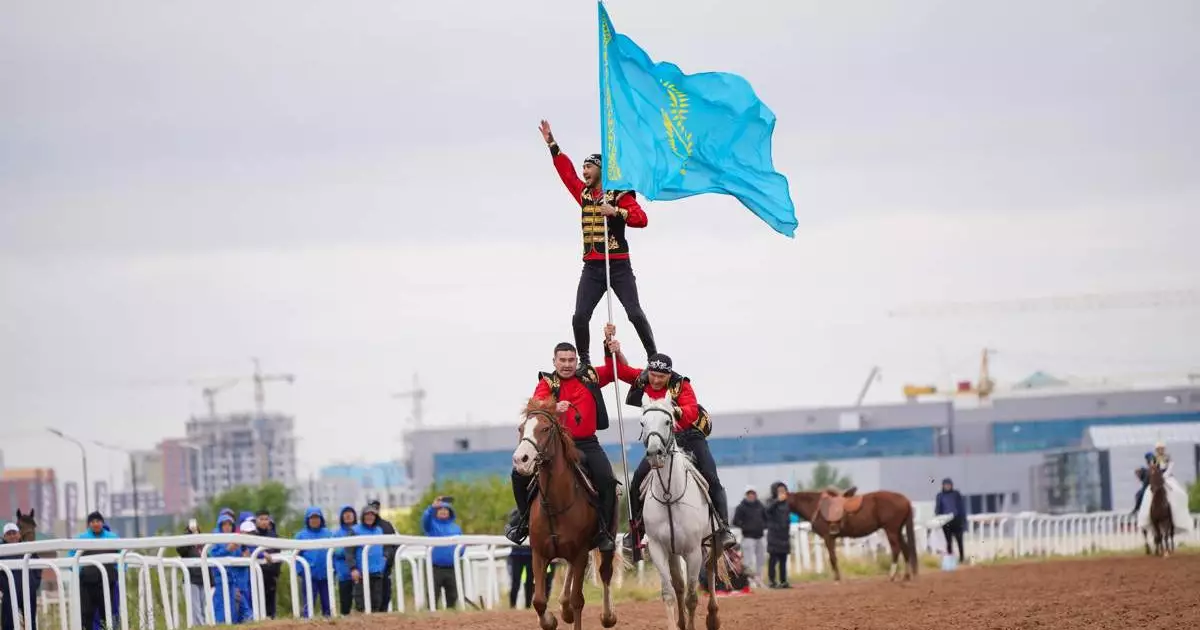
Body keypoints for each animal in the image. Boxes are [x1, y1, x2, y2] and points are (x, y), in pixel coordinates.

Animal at [511, 398, 614, 628]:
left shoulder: (581, 552)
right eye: (521, 429)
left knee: (605, 574)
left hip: (604, 544)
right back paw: (563, 608)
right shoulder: (539, 554)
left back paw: (607, 616)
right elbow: (539, 600)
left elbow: (578, 600)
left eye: (545, 428)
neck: (555, 505)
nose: (521, 459)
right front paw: (550, 621)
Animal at [643, 400, 724, 628]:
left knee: (711, 569)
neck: (669, 494)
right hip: (673, 552)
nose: (654, 453)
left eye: (668, 421)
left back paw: (713, 618)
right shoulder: (658, 548)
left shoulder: (693, 551)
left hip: (713, 542)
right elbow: (669, 593)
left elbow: (692, 597)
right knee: (679, 584)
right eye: (643, 422)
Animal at [787, 487, 916, 580]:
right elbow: (833, 557)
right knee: (905, 549)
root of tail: (905, 500)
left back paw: (892, 575)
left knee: (896, 549)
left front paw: (837, 578)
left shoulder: (828, 537)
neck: (817, 506)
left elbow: (832, 557)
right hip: (898, 531)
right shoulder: (831, 538)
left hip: (891, 530)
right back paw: (906, 576)